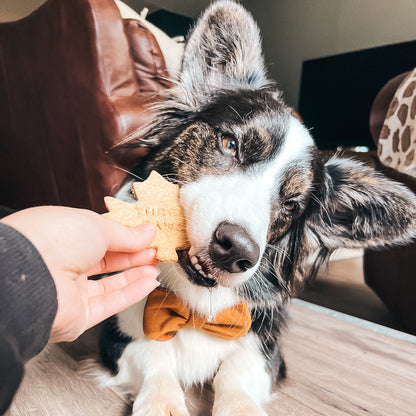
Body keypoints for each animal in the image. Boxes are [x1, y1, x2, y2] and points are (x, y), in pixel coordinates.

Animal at [98, 1, 416, 414]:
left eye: (292, 204)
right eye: (230, 144)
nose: (237, 251)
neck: (196, 307)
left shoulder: (266, 351)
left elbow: (238, 370)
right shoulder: (117, 334)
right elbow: (155, 355)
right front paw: (161, 402)